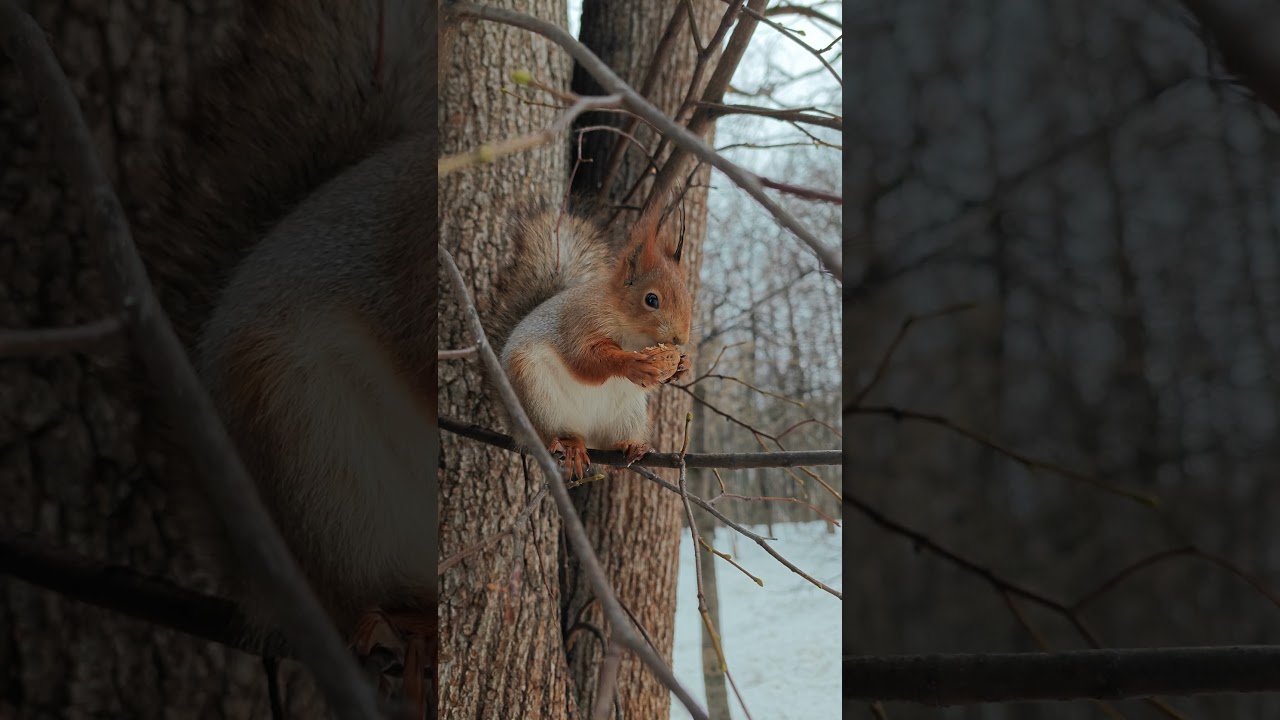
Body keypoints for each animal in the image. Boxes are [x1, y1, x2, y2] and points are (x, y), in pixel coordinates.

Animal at [485, 203, 695, 479]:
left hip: (627, 415)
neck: (632, 333)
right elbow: (584, 359)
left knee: (610, 444)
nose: (680, 338)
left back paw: (631, 445)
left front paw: (682, 365)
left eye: (688, 298)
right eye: (651, 299)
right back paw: (570, 444)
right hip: (539, 397)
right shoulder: (581, 321)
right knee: (557, 432)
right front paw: (632, 364)